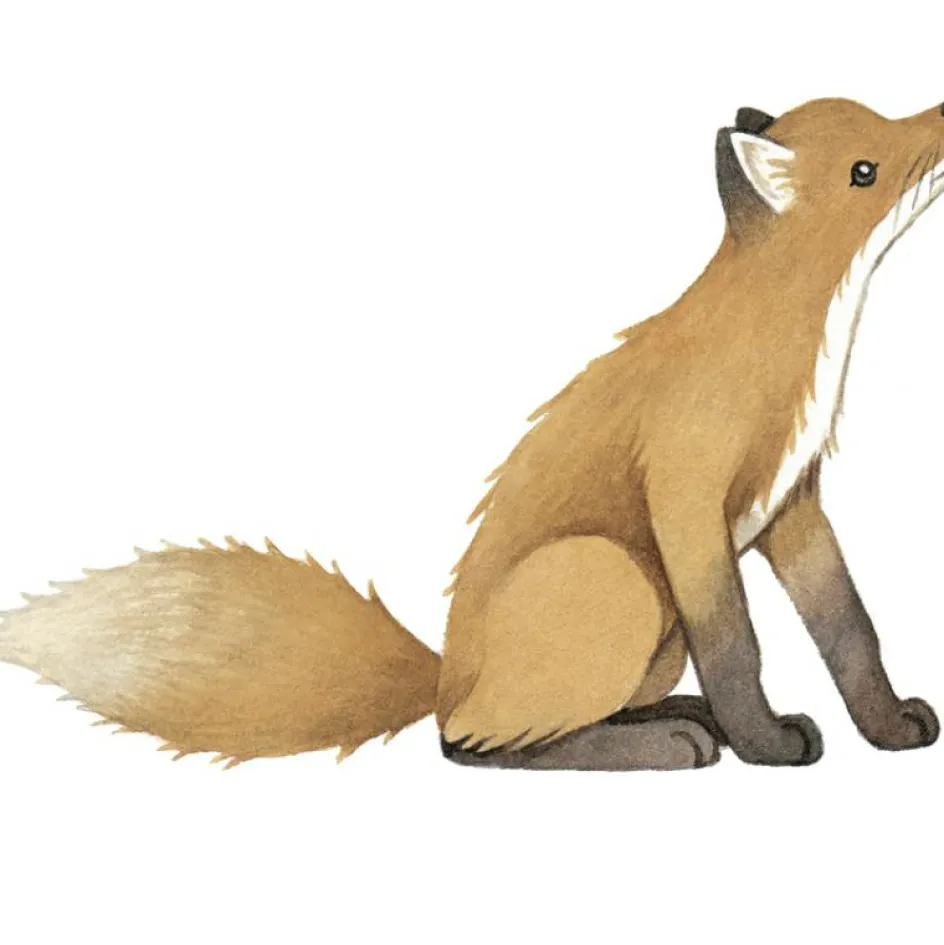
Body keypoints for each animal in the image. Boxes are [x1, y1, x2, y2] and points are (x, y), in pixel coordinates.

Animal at [1, 97, 943, 772]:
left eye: (885, 120)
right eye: (865, 168)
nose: (940, 117)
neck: (779, 346)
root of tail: (445, 674)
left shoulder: (792, 504)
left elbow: (850, 629)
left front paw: (890, 725)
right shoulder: (686, 501)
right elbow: (738, 646)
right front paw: (766, 744)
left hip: (648, 628)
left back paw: (672, 717)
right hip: (617, 577)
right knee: (471, 746)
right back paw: (664, 743)